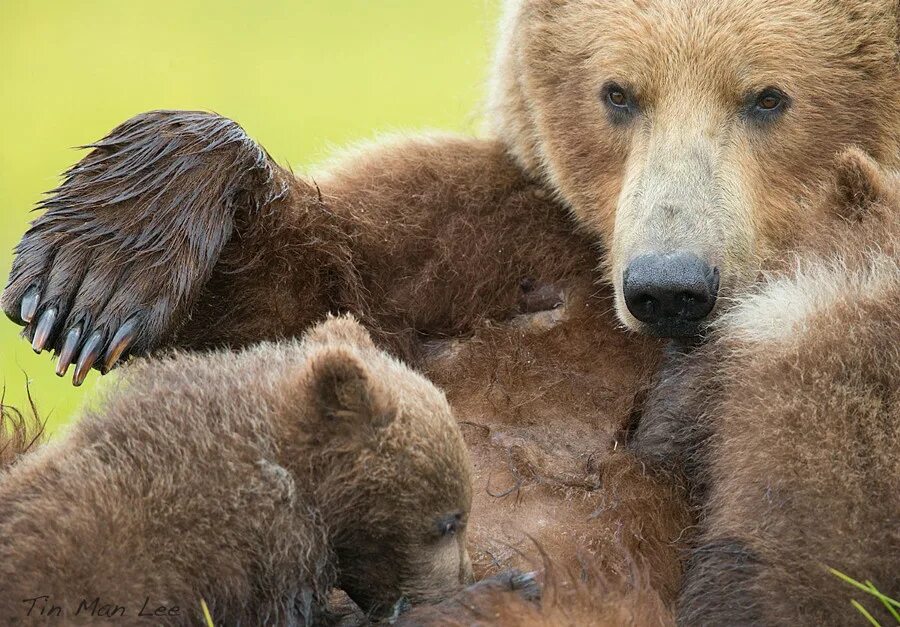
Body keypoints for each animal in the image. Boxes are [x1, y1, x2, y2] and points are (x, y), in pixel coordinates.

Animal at [3, 0, 896, 620]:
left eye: (768, 97)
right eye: (618, 92)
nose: (668, 282)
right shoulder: (478, 237)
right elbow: (300, 307)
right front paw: (87, 278)